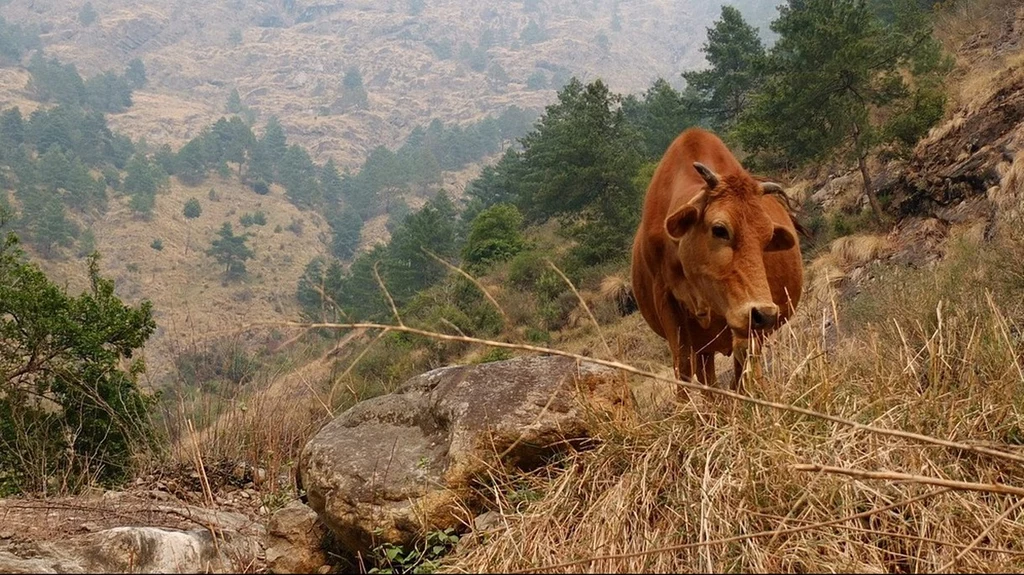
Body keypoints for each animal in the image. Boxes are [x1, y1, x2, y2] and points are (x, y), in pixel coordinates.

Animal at [626, 127, 802, 390]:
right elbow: (683, 366)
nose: (765, 314)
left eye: (767, 237)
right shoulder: (667, 302)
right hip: (704, 346)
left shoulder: (744, 321)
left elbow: (745, 360)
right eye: (720, 229)